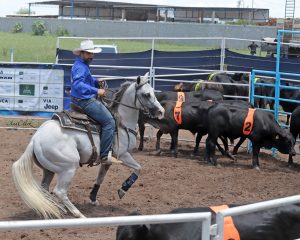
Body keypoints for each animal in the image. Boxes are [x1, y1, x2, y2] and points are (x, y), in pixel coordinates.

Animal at [12, 72, 165, 218]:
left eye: (153, 91)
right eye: (146, 94)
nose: (161, 111)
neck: (121, 122)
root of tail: (35, 139)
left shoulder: (107, 160)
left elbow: (101, 178)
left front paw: (93, 198)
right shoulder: (123, 155)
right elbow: (138, 168)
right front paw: (123, 189)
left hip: (49, 169)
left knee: (44, 188)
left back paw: (56, 208)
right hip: (68, 167)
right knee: (59, 191)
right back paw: (77, 213)